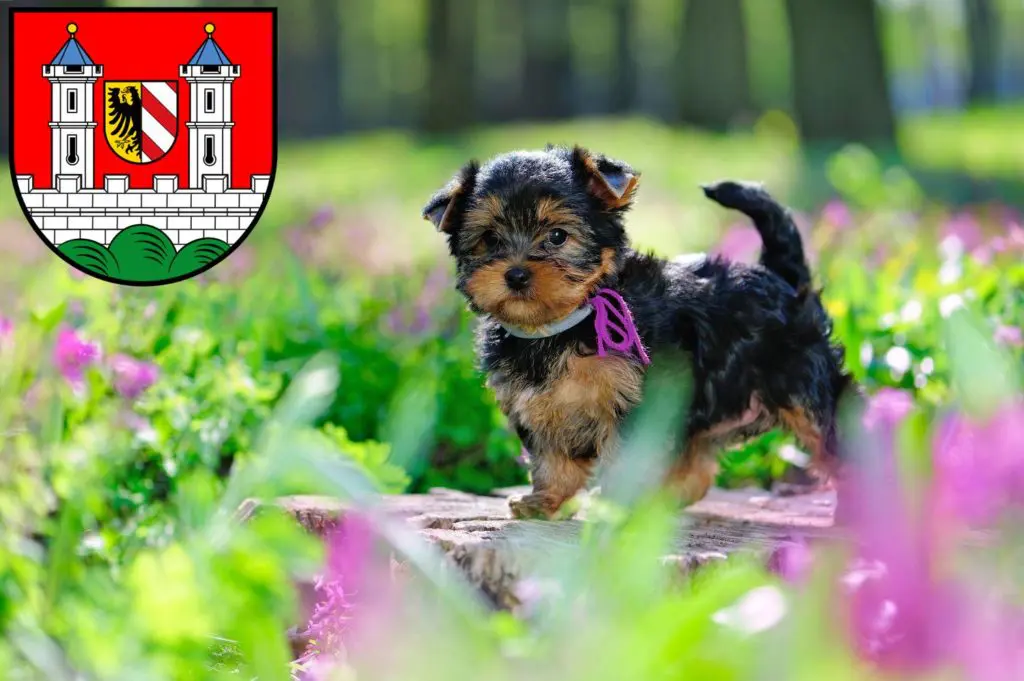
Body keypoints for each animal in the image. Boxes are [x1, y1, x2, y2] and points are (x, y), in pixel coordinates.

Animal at [421, 146, 856, 518]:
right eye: (490, 239)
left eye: (558, 236)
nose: (515, 274)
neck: (564, 324)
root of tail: (780, 277)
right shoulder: (538, 405)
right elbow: (552, 458)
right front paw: (546, 502)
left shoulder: (633, 401)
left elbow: (625, 458)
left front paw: (611, 506)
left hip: (804, 385)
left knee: (838, 439)